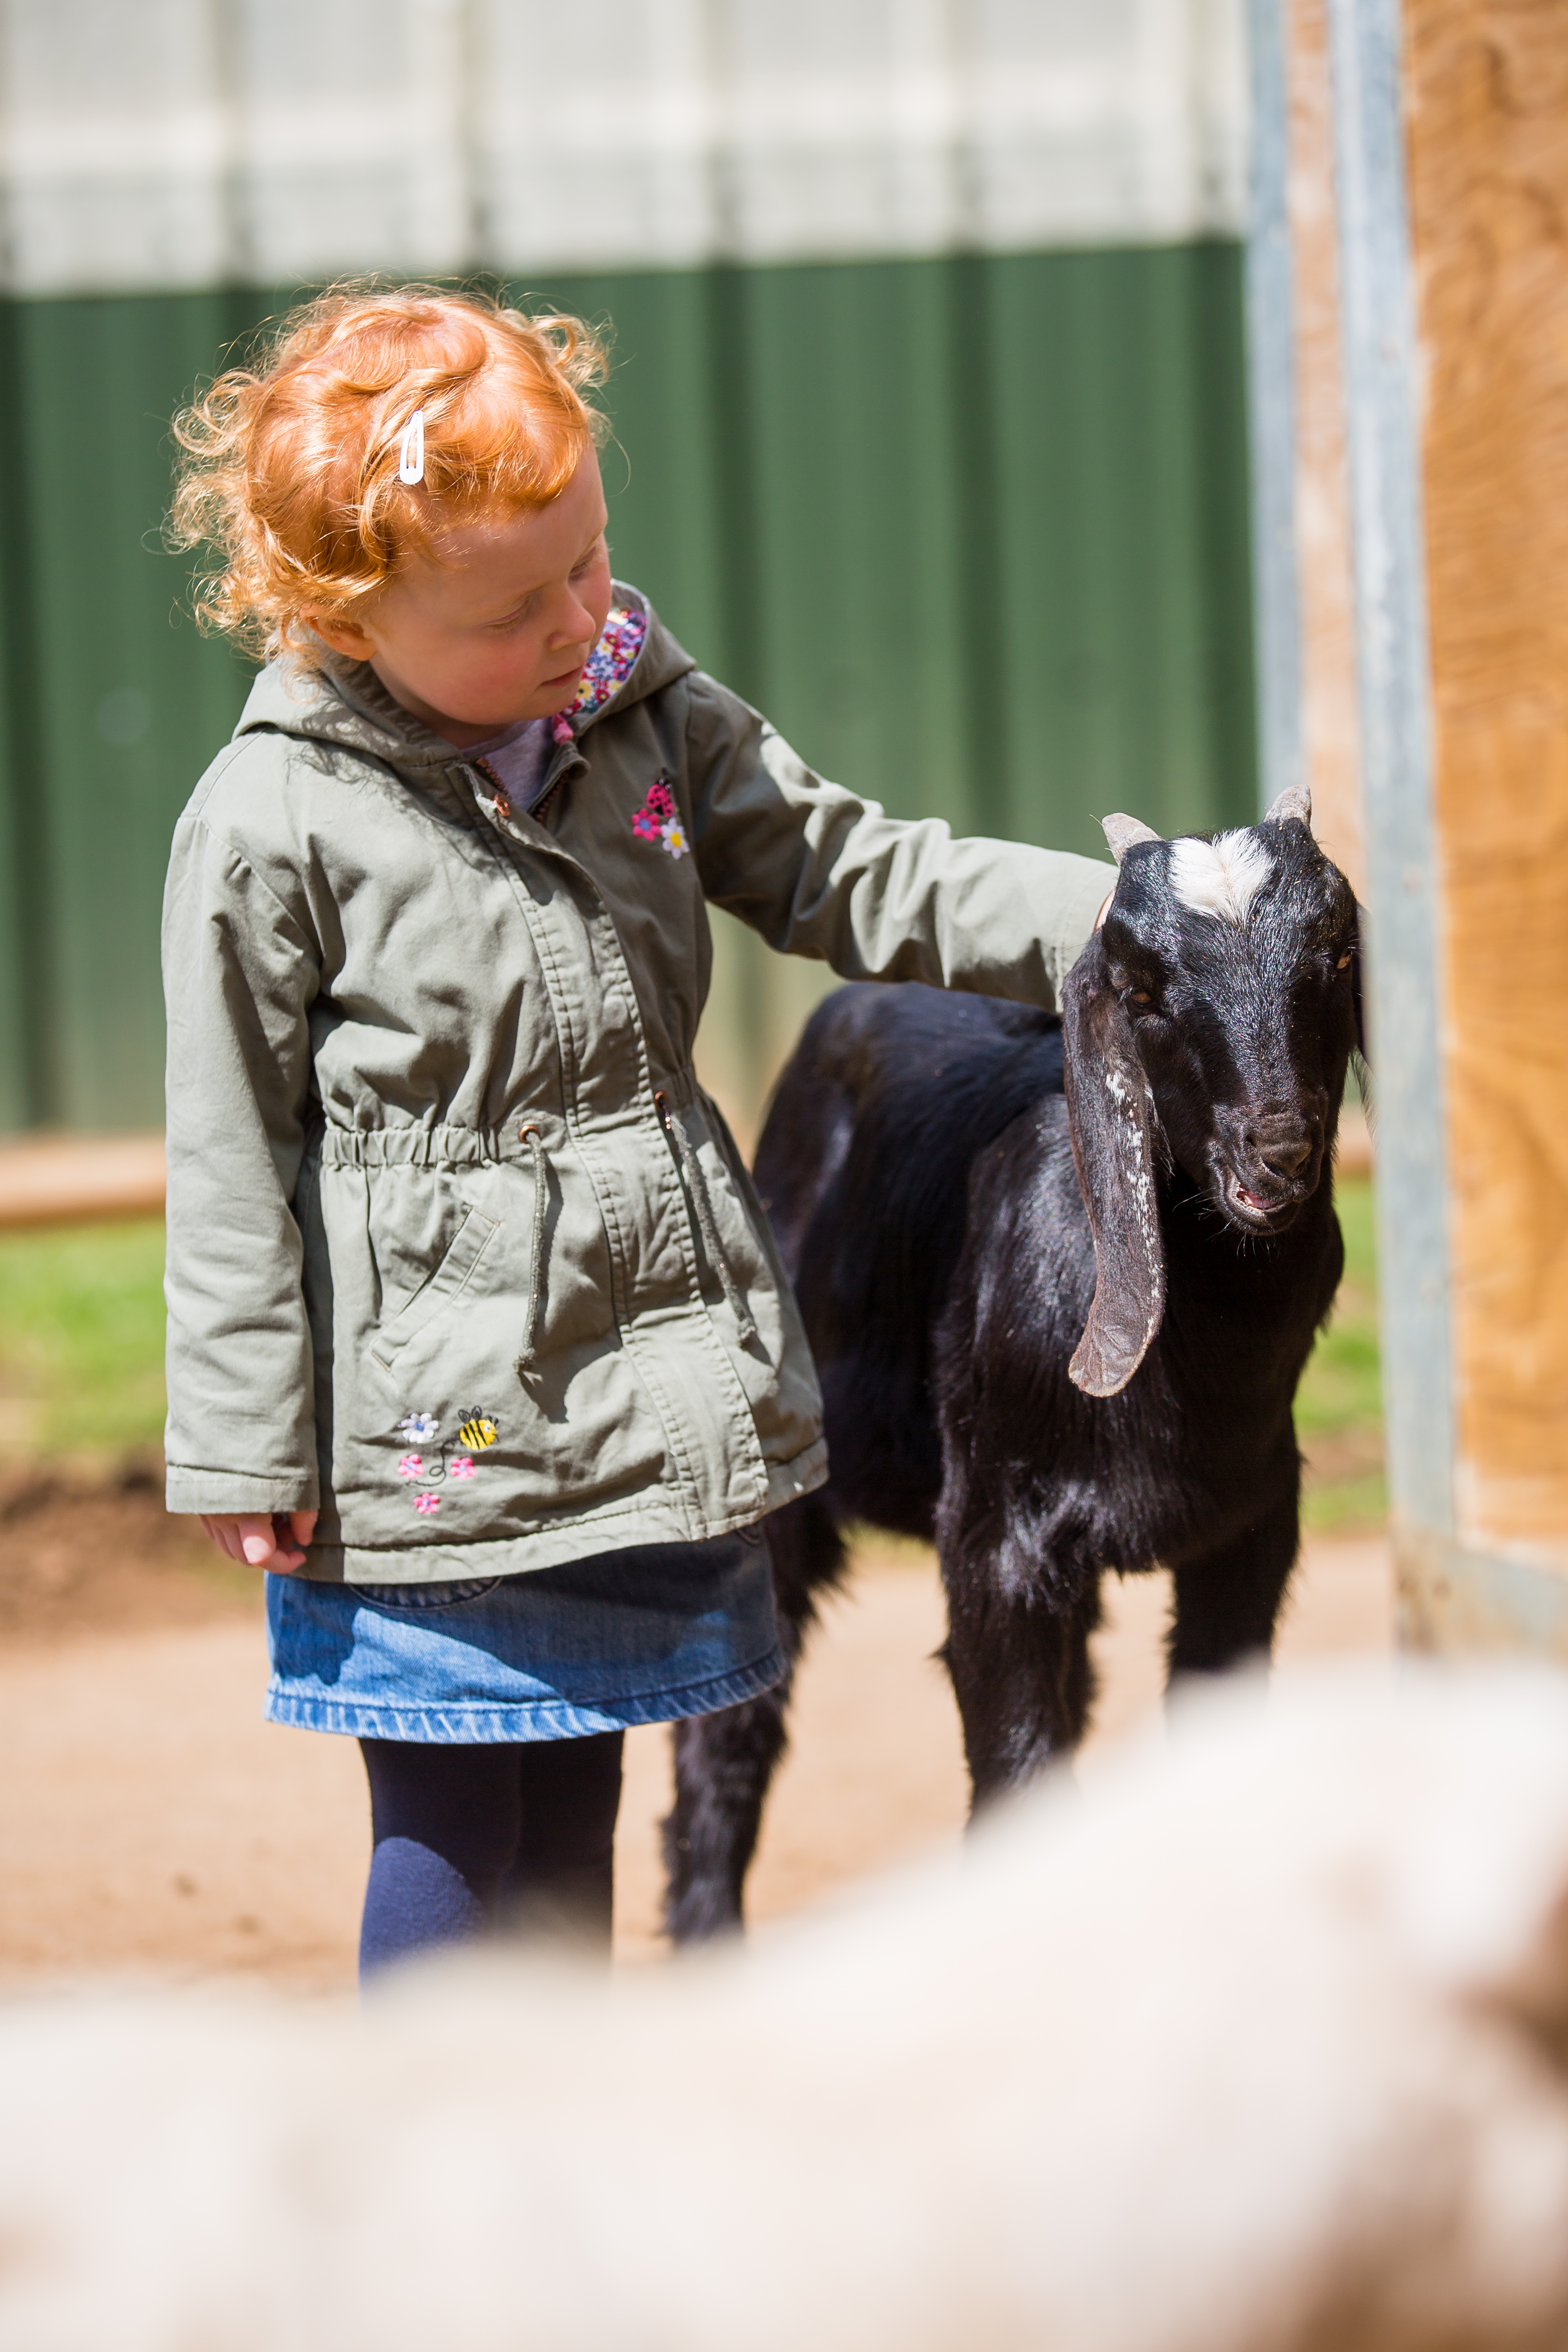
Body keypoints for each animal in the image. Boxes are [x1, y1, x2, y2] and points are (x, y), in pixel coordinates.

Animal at [667, 781, 1363, 1938]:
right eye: (1141, 990)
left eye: (1335, 954)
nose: (1277, 1150)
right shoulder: (994, 1539)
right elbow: (1017, 1766)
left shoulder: (1252, 1521)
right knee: (729, 1738)